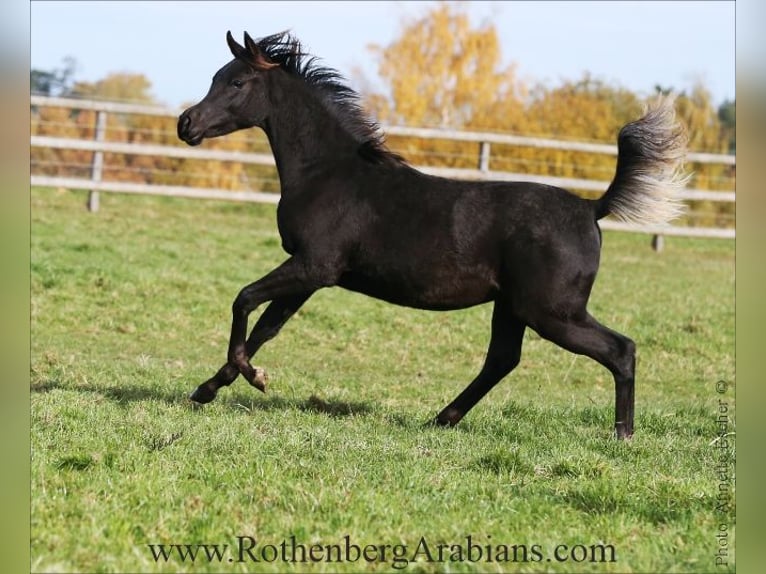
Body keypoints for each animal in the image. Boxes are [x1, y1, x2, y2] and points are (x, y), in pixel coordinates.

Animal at [177, 31, 688, 439]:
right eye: (215, 77)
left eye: (236, 82)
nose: (186, 123)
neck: (329, 173)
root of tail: (591, 207)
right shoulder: (312, 274)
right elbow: (267, 327)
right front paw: (209, 388)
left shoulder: (313, 265)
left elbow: (244, 300)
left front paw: (252, 376)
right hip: (513, 306)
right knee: (502, 359)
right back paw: (442, 418)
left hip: (552, 311)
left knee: (621, 350)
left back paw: (623, 435)